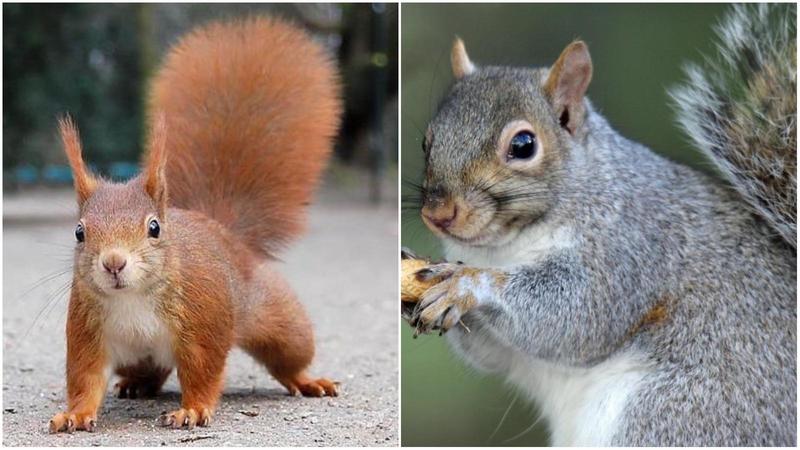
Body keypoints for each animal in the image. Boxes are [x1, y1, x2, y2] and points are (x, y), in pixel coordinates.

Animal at [48, 16, 340, 432]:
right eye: (79, 232)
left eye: (154, 227)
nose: (114, 263)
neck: (132, 298)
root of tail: (223, 231)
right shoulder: (87, 331)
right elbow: (85, 378)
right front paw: (74, 414)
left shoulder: (203, 323)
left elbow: (202, 371)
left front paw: (193, 409)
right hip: (136, 355)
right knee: (150, 369)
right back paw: (136, 385)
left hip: (280, 321)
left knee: (289, 357)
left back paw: (307, 380)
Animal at [410, 4, 796, 446]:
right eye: (427, 141)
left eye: (523, 145)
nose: (438, 213)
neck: (503, 247)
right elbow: (495, 354)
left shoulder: (628, 246)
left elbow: (581, 313)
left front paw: (469, 285)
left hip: (674, 416)